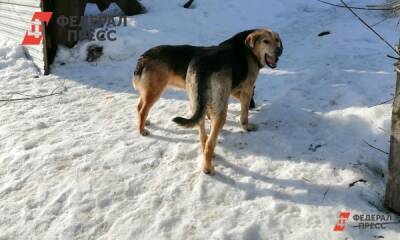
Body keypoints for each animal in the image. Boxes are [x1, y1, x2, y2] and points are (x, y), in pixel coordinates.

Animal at [173, 28, 282, 174]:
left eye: (277, 40)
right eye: (265, 41)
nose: (279, 51)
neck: (250, 48)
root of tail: (203, 66)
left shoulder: (232, 88)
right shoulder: (247, 88)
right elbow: (244, 113)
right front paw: (247, 125)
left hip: (196, 102)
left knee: (203, 136)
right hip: (221, 113)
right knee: (210, 144)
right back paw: (208, 169)